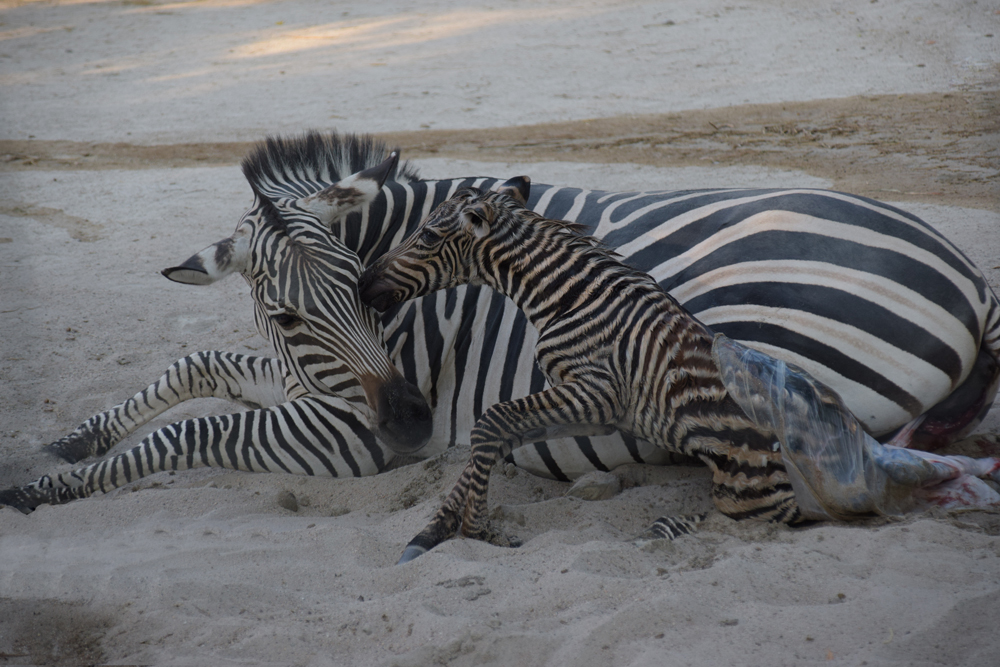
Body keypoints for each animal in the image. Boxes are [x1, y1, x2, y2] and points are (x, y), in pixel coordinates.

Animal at [3, 132, 996, 512]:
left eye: (363, 290)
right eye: (286, 311)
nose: (412, 421)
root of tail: (970, 275)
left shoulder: (345, 440)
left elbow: (192, 428)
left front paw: (43, 491)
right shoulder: (309, 381)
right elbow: (195, 366)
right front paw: (72, 440)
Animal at [364, 183, 1000, 564]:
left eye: (426, 235)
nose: (366, 285)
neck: (568, 295)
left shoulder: (596, 396)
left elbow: (489, 423)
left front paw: (473, 529)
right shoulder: (586, 405)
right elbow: (490, 437)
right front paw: (438, 529)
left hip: (748, 491)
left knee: (754, 522)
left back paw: (663, 530)